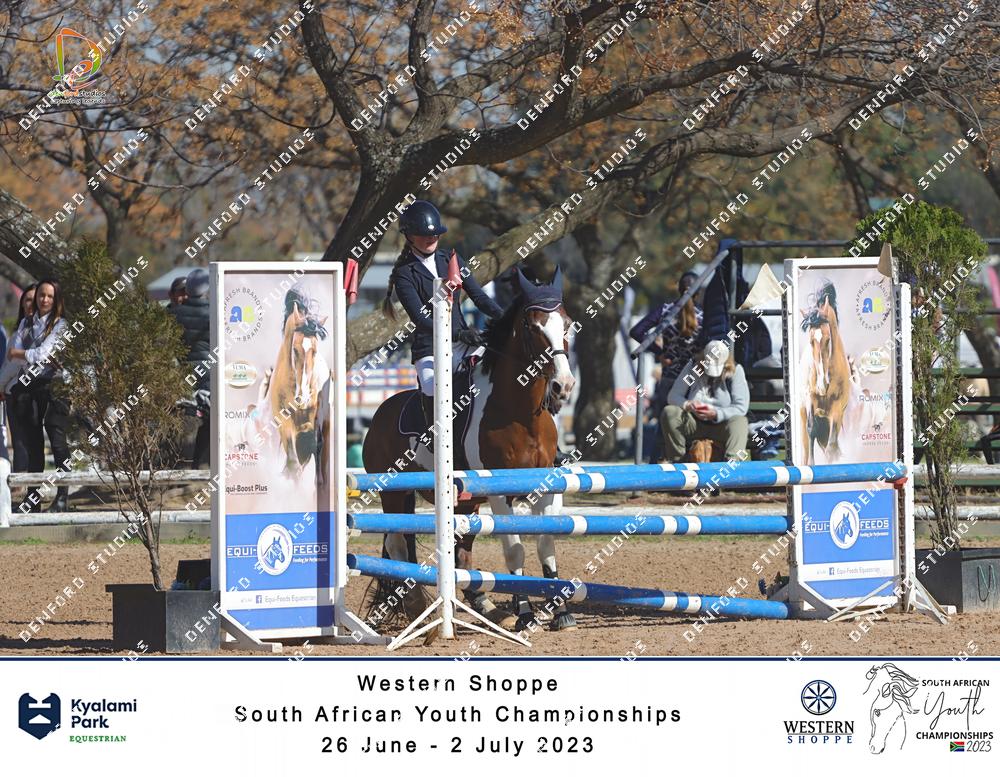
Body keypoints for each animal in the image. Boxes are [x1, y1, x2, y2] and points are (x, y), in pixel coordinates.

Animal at [362, 267, 578, 635]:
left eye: (566, 323)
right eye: (533, 326)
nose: (563, 386)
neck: (519, 412)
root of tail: (379, 414)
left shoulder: (546, 485)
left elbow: (546, 544)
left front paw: (561, 613)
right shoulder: (501, 493)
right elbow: (515, 551)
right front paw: (525, 615)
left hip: (463, 501)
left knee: (459, 548)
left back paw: (486, 606)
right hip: (393, 492)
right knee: (397, 543)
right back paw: (417, 603)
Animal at [799, 282, 852, 465]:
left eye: (828, 339)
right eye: (810, 341)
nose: (822, 386)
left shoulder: (837, 408)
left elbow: (832, 447)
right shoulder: (810, 397)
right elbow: (811, 429)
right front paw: (811, 464)